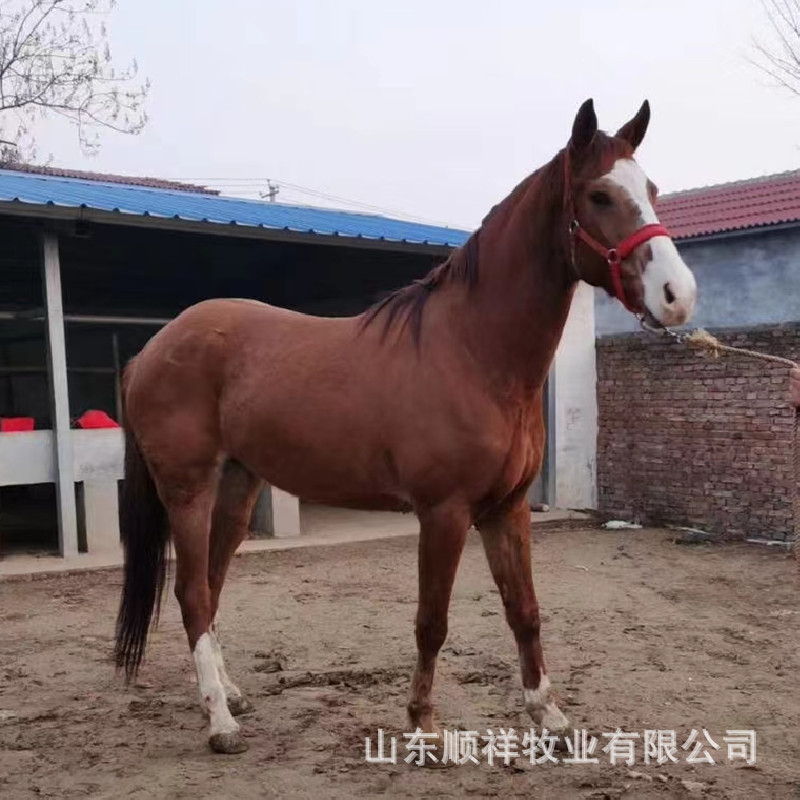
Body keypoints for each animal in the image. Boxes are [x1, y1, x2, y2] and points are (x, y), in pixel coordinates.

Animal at [114, 98, 697, 754]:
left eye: (651, 190)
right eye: (599, 195)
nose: (678, 296)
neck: (473, 352)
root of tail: (152, 349)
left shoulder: (508, 509)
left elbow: (524, 610)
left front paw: (548, 717)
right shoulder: (444, 512)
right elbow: (432, 621)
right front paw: (422, 722)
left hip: (238, 485)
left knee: (211, 586)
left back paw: (230, 695)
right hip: (188, 488)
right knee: (191, 592)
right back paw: (221, 724)